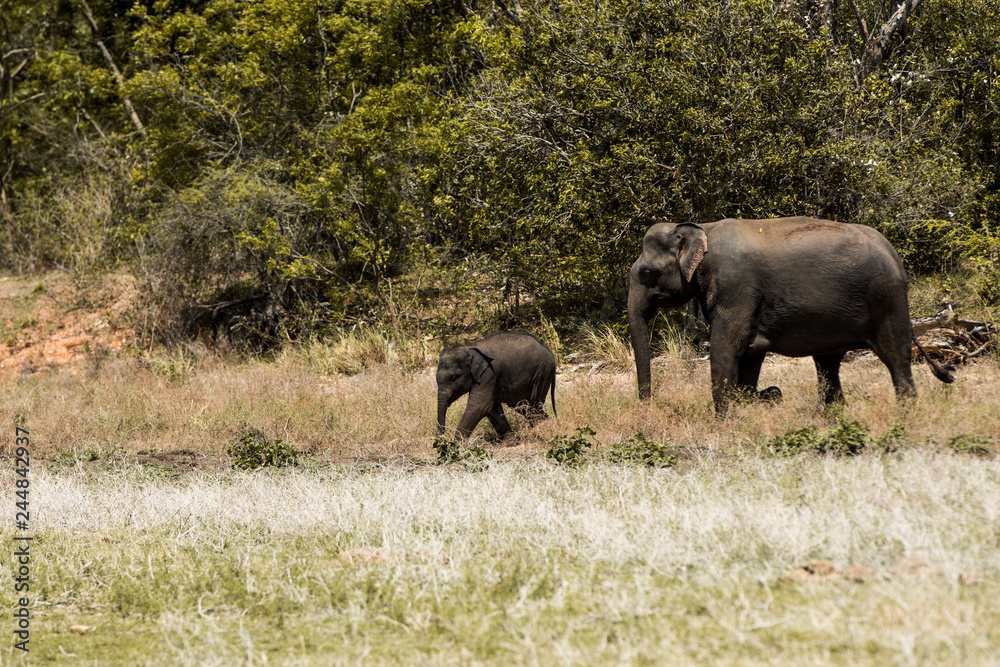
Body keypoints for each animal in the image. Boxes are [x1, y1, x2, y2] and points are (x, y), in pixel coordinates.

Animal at [627, 217, 956, 413]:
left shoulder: (736, 286)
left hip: (889, 301)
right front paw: (751, 401)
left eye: (647, 273)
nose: (648, 406)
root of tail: (892, 252)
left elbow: (726, 346)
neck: (701, 227)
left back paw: (906, 415)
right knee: (827, 365)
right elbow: (750, 352)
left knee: (896, 359)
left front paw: (727, 420)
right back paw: (831, 416)